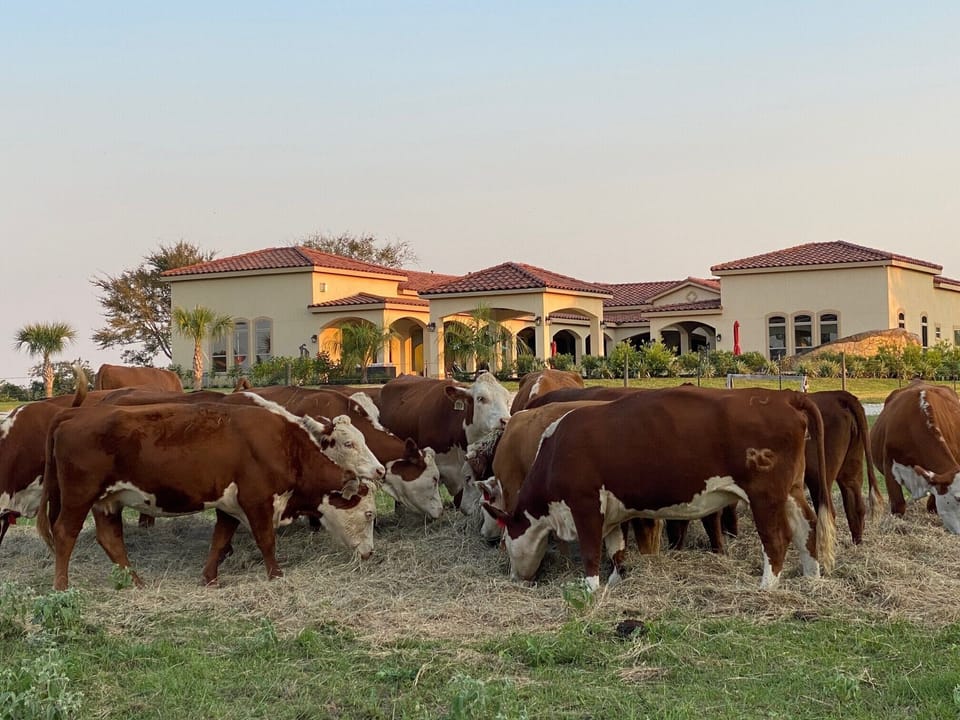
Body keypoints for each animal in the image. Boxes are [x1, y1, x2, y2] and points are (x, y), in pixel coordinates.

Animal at [36, 400, 386, 590]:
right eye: (369, 514)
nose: (370, 553)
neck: (284, 446)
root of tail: (73, 414)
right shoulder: (256, 501)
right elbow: (266, 540)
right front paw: (276, 575)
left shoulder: (229, 506)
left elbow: (220, 540)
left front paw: (209, 578)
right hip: (79, 497)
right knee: (64, 534)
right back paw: (61, 586)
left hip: (108, 502)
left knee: (110, 539)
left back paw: (136, 582)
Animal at [483, 386, 835, 592]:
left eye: (506, 538)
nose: (513, 576)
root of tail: (783, 395)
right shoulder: (612, 512)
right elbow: (617, 548)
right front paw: (616, 579)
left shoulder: (585, 505)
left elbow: (591, 552)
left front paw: (591, 589)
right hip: (791, 491)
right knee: (807, 527)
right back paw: (812, 576)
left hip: (765, 496)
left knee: (777, 538)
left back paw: (766, 586)